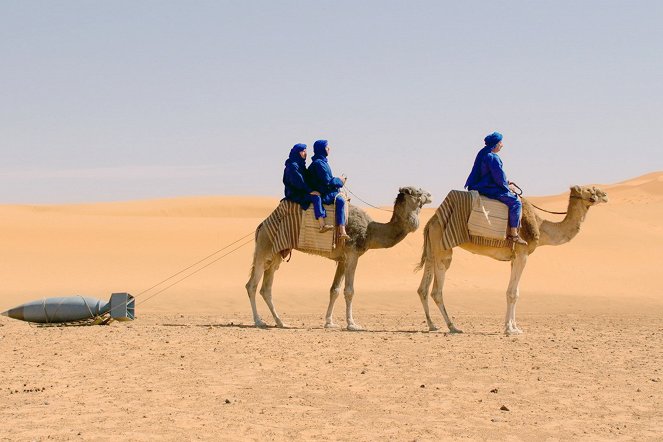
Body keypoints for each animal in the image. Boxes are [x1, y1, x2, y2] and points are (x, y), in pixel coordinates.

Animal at [246, 186, 434, 328]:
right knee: (252, 285)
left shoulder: (343, 259)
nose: (430, 195)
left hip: (276, 254)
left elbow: (334, 290)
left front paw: (329, 322)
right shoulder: (352, 254)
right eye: (418, 192)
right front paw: (352, 324)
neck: (371, 231)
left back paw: (280, 322)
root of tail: (261, 225)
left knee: (266, 288)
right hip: (264, 248)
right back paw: (259, 321)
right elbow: (349, 290)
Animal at [418, 186, 608, 334]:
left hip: (431, 250)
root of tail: (431, 221)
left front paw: (513, 326)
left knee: (423, 289)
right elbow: (513, 293)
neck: (541, 227)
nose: (605, 194)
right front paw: (510, 329)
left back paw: (432, 325)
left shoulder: (514, 258)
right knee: (436, 290)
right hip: (443, 248)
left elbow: (514, 292)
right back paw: (453, 326)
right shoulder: (522, 254)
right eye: (590, 189)